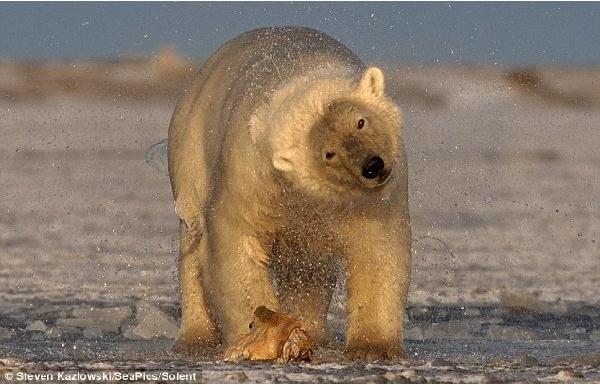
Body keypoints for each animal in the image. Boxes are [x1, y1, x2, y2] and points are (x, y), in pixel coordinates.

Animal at [169, 27, 412, 360]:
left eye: (360, 121)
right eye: (328, 154)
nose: (372, 166)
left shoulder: (370, 202)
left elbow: (377, 250)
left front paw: (374, 348)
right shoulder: (249, 176)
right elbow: (234, 245)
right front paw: (256, 333)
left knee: (308, 268)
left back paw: (316, 333)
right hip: (190, 153)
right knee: (193, 244)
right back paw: (196, 338)